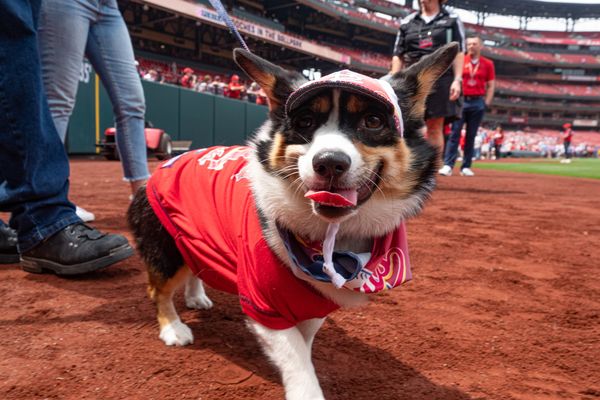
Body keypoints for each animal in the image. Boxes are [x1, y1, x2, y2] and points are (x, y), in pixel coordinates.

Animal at [129, 42, 460, 398]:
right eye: (304, 121)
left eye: (372, 120)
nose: (329, 163)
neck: (331, 242)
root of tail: (164, 165)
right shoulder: (263, 304)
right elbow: (296, 355)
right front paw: (307, 389)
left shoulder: (315, 300)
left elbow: (306, 338)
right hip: (166, 249)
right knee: (158, 289)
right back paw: (173, 328)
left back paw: (196, 297)